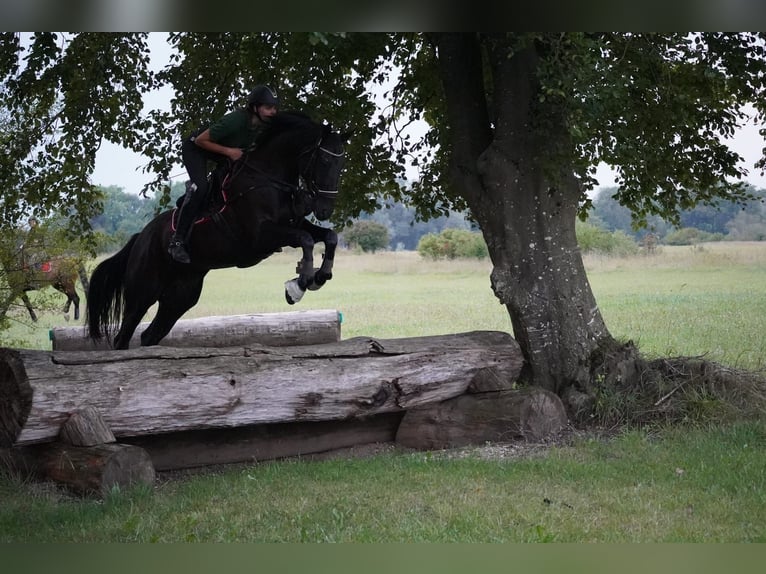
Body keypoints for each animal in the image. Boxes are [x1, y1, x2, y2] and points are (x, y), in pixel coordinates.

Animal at [86, 110, 348, 348]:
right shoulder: (261, 236)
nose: (324, 209)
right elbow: (306, 239)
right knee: (123, 336)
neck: (267, 178)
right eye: (325, 161)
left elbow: (329, 237)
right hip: (143, 293)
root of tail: (140, 237)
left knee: (149, 335)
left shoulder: (291, 226)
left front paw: (319, 276)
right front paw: (299, 285)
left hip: (180, 296)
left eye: (341, 164)